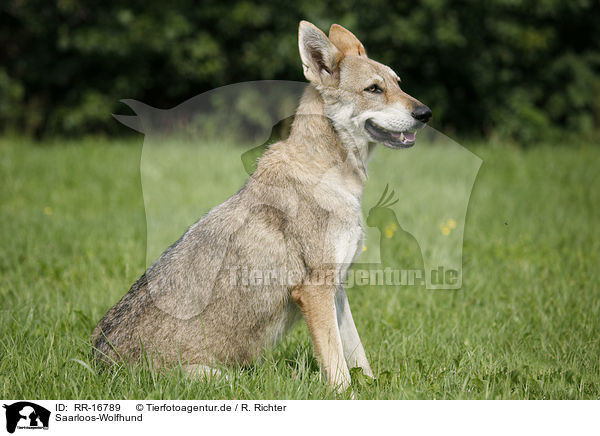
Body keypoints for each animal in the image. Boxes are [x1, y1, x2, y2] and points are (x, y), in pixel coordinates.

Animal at [92, 20, 432, 392]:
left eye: (398, 84)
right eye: (374, 89)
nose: (425, 113)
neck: (334, 177)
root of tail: (96, 365)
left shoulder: (338, 287)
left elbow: (358, 356)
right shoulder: (315, 290)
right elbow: (339, 370)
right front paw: (346, 395)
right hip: (222, 378)